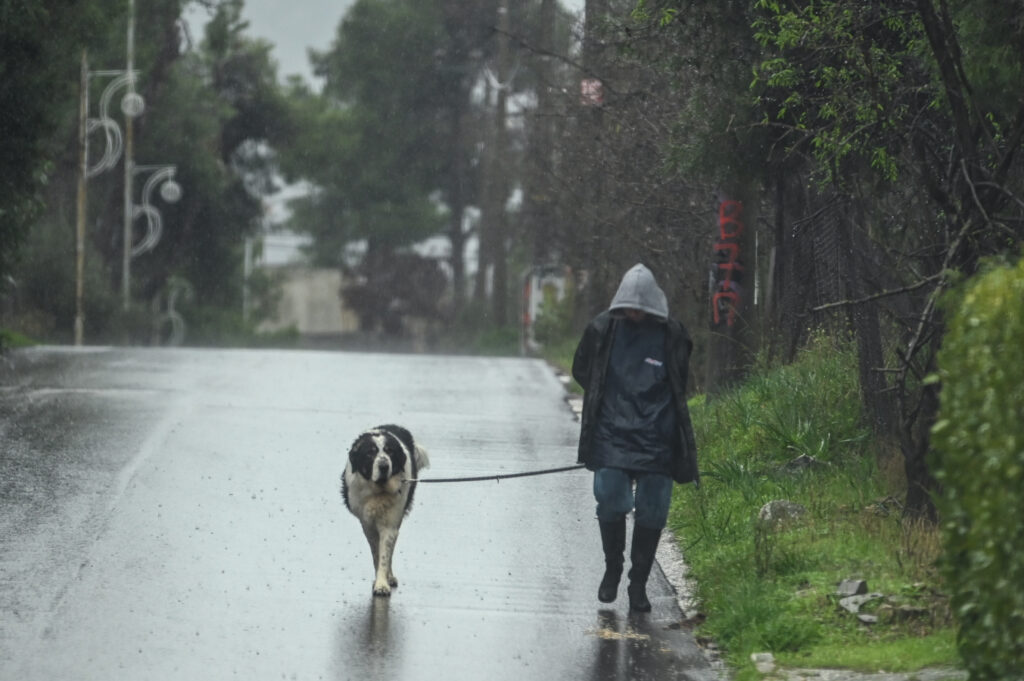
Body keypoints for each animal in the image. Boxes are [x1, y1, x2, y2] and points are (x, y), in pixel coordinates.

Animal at [339, 426, 428, 593]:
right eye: (370, 453)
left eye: (390, 451)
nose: (384, 466)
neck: (378, 492)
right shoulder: (367, 524)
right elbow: (376, 553)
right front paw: (379, 580)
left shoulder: (390, 524)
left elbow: (385, 555)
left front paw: (382, 584)